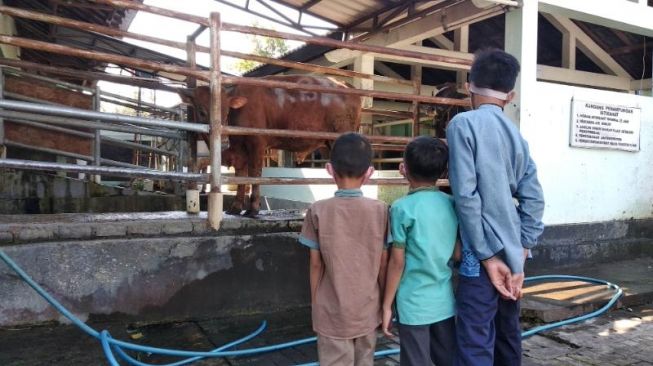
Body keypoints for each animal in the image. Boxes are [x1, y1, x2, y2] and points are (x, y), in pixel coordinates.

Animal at [183, 75, 362, 216]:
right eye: (201, 111)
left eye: (226, 112)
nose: (224, 141)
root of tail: (344, 83)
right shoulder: (240, 151)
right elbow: (240, 175)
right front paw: (236, 207)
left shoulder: (257, 142)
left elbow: (254, 173)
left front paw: (253, 209)